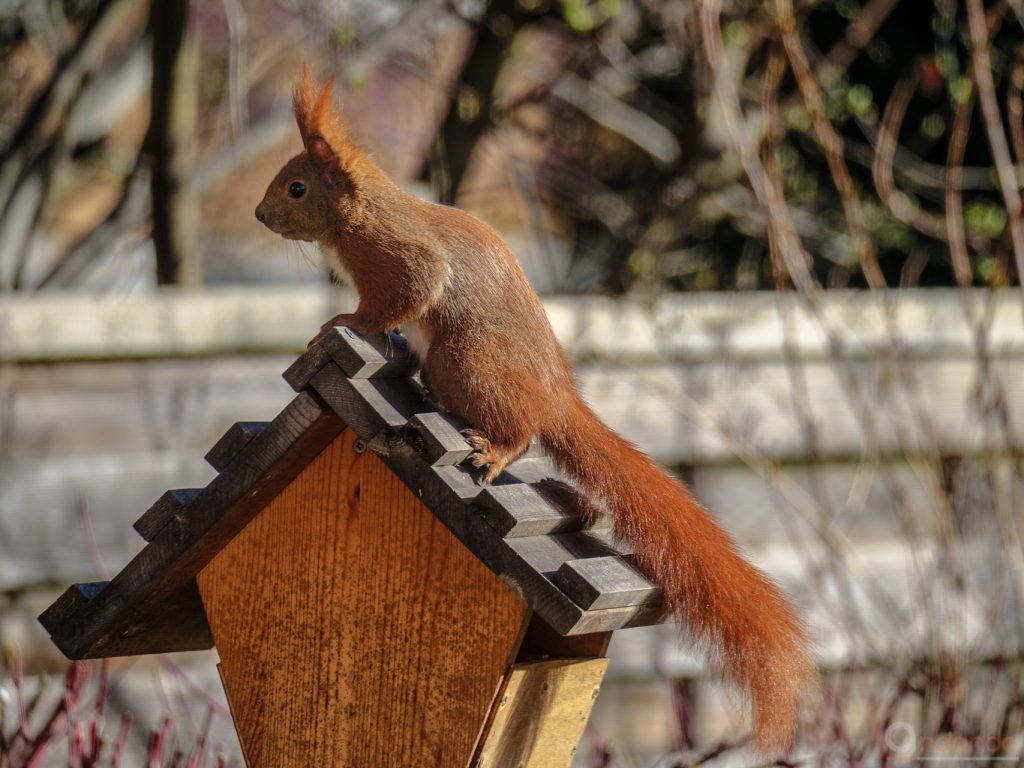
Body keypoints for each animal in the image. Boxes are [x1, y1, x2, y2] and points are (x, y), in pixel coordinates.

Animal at [251, 69, 811, 753]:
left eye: (297, 187)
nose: (260, 215)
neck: (362, 213)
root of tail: (555, 396)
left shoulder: (400, 257)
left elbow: (399, 296)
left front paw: (342, 322)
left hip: (465, 363)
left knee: (520, 432)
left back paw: (491, 452)